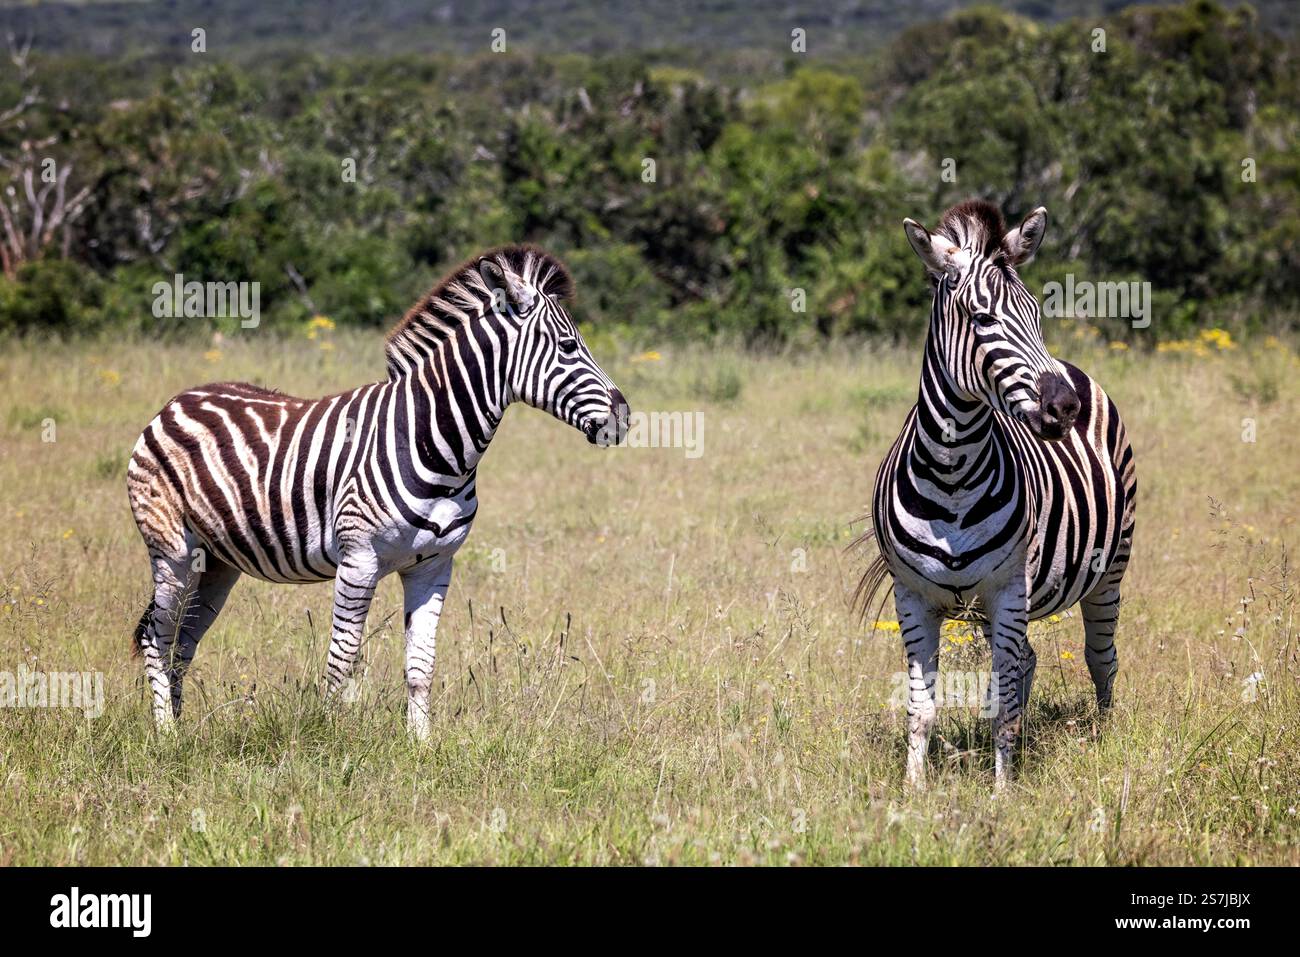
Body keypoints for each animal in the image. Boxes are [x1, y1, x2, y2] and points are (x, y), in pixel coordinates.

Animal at [127, 245, 628, 739]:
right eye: (568, 346)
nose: (624, 416)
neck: (438, 447)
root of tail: (178, 400)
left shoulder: (434, 567)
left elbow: (421, 666)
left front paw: (422, 746)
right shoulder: (359, 560)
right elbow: (342, 659)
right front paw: (327, 738)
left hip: (217, 562)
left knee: (182, 642)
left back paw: (182, 728)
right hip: (172, 549)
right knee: (158, 636)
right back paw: (167, 737)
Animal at [858, 200, 1136, 789]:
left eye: (1036, 314)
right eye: (982, 319)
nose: (1065, 407)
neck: (953, 473)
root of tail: (1074, 367)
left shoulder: (1010, 590)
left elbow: (1003, 707)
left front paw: (1001, 794)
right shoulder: (912, 598)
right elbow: (922, 708)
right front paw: (913, 792)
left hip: (1111, 566)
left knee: (1101, 657)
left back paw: (1104, 737)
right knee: (1027, 661)